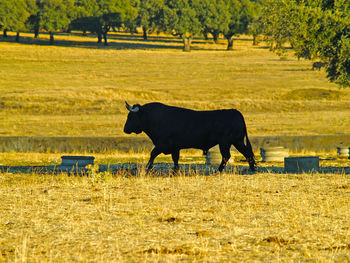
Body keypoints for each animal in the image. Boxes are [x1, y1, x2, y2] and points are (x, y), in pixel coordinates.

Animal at [124, 101, 256, 173]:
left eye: (130, 116)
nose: (125, 129)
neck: (154, 118)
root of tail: (235, 112)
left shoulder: (162, 144)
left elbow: (153, 154)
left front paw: (148, 168)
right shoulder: (174, 147)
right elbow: (175, 159)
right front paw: (175, 171)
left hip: (225, 143)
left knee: (226, 156)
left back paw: (217, 171)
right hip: (237, 141)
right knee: (247, 153)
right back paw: (252, 169)